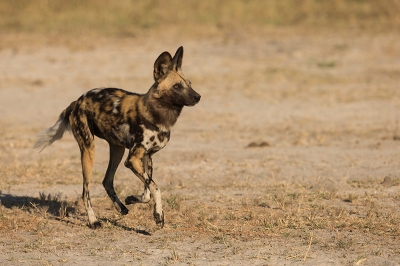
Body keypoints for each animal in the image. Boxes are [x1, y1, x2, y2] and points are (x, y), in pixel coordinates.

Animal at [35, 46, 200, 227]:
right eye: (177, 86)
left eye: (189, 84)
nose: (198, 97)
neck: (156, 115)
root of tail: (77, 101)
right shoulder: (132, 160)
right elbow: (155, 188)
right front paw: (159, 216)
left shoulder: (146, 157)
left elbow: (148, 191)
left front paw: (132, 199)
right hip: (88, 150)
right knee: (86, 192)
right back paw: (93, 221)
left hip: (117, 150)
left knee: (107, 180)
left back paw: (121, 207)